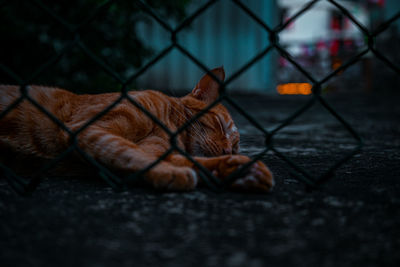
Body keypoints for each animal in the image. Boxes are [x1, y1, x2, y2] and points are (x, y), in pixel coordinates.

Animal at [0, 67, 274, 193]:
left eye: (235, 147)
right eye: (221, 126)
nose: (228, 150)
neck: (170, 126)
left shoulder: (159, 149)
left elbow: (187, 160)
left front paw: (239, 171)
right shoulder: (88, 130)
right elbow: (127, 151)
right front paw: (169, 174)